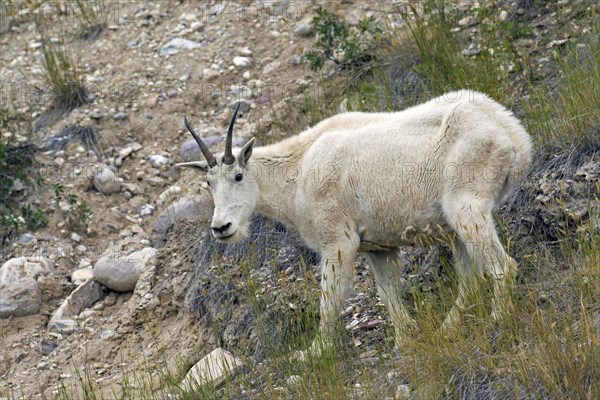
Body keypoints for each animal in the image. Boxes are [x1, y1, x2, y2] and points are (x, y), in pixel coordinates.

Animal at [176, 90, 532, 356]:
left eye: (238, 175)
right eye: (208, 183)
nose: (221, 228)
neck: (298, 171)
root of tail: (514, 135)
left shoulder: (337, 242)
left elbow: (330, 302)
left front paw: (314, 353)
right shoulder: (377, 246)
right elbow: (387, 293)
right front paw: (405, 340)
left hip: (467, 207)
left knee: (503, 267)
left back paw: (498, 321)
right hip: (455, 226)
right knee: (470, 280)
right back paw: (447, 329)